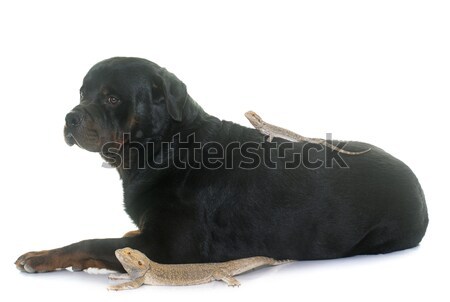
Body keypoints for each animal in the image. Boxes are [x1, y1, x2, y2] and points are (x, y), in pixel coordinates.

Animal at [14, 57, 428, 272]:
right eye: (82, 93)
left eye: (112, 98)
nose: (69, 117)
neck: (166, 148)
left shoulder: (169, 248)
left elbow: (96, 242)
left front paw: (42, 256)